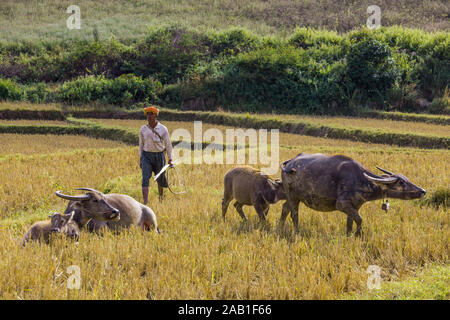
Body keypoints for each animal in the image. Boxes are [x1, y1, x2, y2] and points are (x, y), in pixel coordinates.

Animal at [282, 152, 426, 235]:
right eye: (401, 182)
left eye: (406, 179)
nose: (422, 191)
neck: (360, 180)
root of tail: (289, 163)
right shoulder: (342, 204)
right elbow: (360, 219)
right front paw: (359, 234)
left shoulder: (354, 206)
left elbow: (351, 221)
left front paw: (349, 234)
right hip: (293, 196)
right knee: (294, 214)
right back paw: (297, 232)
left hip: (292, 197)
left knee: (285, 208)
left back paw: (280, 227)